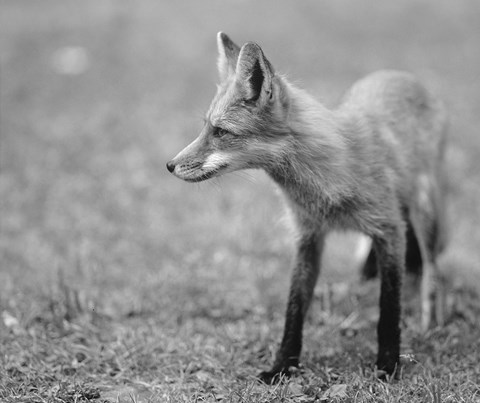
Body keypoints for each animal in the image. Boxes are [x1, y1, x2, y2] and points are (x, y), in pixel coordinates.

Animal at [167, 33, 448, 384]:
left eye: (221, 132)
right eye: (205, 127)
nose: (170, 165)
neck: (325, 184)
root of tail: (400, 74)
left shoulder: (390, 229)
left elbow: (389, 308)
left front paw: (387, 366)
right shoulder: (308, 236)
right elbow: (295, 308)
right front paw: (282, 367)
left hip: (425, 214)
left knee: (432, 272)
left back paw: (430, 324)